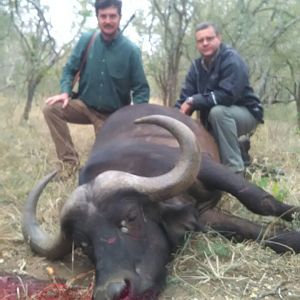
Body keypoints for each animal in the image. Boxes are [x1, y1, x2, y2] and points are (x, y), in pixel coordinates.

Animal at [22, 103, 300, 300]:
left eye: (130, 217)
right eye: (83, 243)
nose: (113, 292)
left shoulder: (209, 168)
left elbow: (257, 199)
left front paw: (293, 214)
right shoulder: (204, 216)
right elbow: (251, 230)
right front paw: (288, 237)